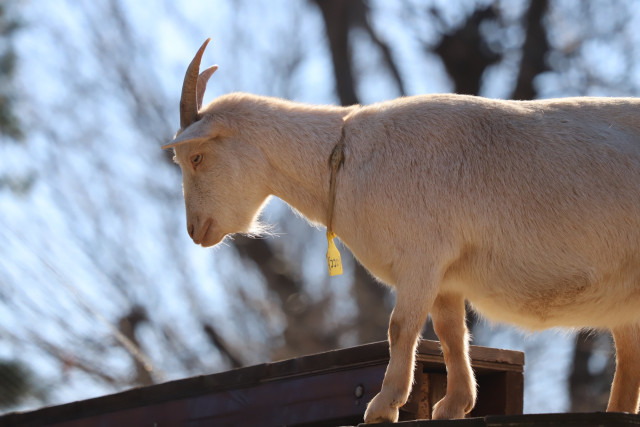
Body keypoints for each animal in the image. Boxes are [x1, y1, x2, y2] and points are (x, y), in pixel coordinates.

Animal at [165, 39, 640, 422]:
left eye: (196, 158)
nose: (194, 230)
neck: (347, 159)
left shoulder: (421, 256)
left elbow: (401, 326)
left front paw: (384, 405)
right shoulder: (446, 274)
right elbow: (450, 332)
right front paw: (454, 405)